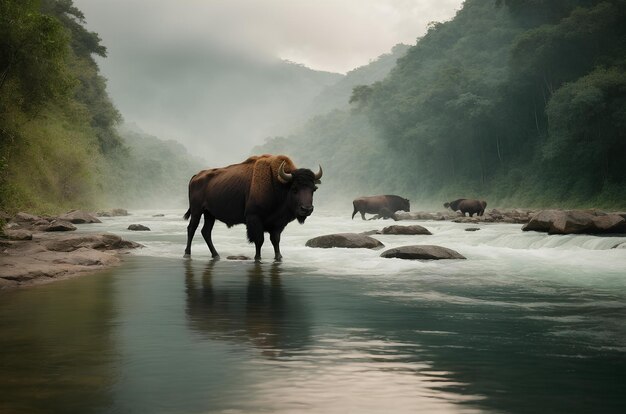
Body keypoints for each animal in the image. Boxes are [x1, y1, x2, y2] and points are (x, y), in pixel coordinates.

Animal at [183, 154, 322, 260]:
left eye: (314, 189)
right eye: (294, 189)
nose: (307, 209)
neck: (277, 184)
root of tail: (196, 176)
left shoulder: (277, 224)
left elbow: (275, 240)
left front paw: (279, 257)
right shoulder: (254, 218)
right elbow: (259, 240)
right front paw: (257, 258)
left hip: (210, 214)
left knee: (206, 232)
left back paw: (216, 255)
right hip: (197, 211)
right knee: (191, 229)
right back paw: (187, 254)